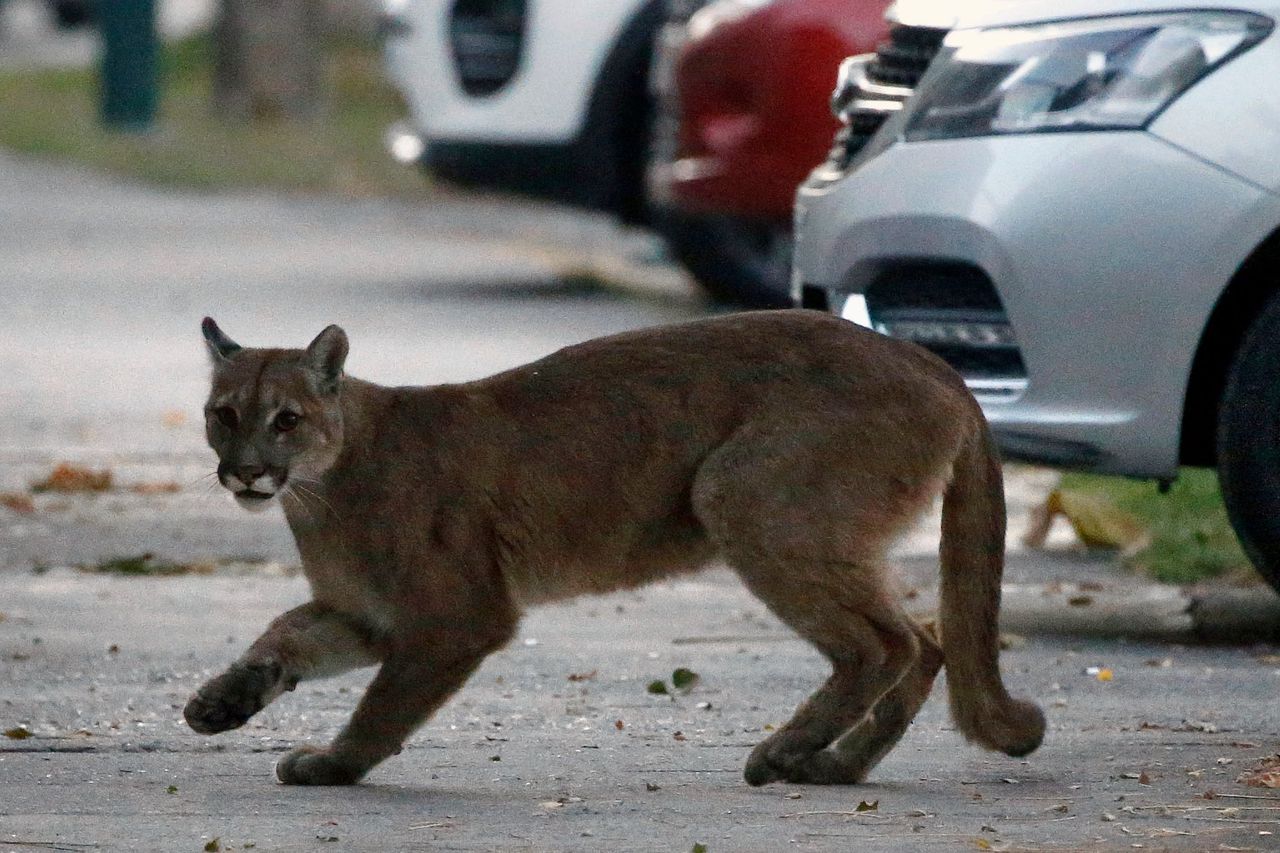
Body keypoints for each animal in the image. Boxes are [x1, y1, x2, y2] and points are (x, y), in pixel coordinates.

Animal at [185, 311, 1044, 783]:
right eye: (224, 414)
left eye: (286, 419)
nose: (246, 470)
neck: (320, 490)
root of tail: (934, 362)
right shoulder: (368, 613)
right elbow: (284, 634)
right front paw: (223, 701)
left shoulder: (456, 616)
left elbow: (383, 703)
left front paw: (336, 764)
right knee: (928, 640)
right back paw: (835, 766)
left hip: (740, 493)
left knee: (883, 643)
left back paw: (785, 751)